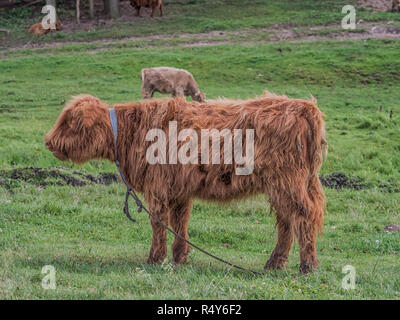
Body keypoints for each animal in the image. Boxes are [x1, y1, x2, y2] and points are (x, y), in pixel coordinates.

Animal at [45, 92, 326, 272]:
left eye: (69, 122)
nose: (48, 141)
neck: (129, 134)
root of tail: (304, 107)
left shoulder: (158, 189)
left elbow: (159, 223)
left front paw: (155, 259)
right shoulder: (178, 190)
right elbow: (179, 222)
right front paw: (179, 257)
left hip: (287, 183)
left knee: (302, 216)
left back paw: (307, 265)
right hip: (286, 185)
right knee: (287, 221)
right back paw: (274, 263)